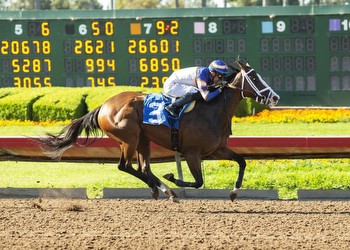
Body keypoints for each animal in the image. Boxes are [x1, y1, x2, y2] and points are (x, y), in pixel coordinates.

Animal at [37, 60, 280, 201]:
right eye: (254, 77)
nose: (275, 97)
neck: (213, 110)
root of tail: (103, 106)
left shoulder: (216, 150)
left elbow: (242, 161)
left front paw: (233, 193)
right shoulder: (192, 153)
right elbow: (198, 181)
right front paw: (172, 177)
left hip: (143, 140)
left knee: (143, 168)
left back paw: (163, 191)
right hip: (129, 139)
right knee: (125, 166)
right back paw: (164, 190)